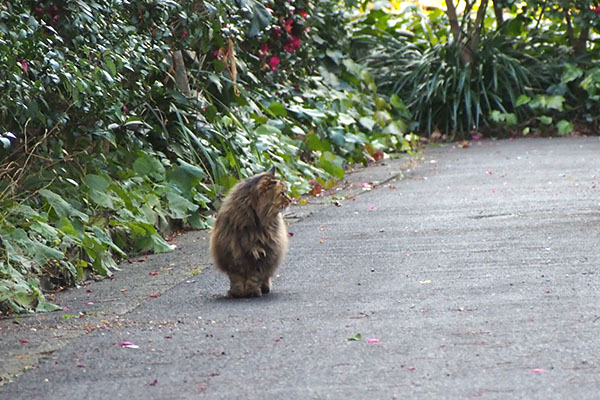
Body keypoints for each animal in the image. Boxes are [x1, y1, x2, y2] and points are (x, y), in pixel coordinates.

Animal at [210, 168, 292, 296]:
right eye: (283, 193)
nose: (291, 200)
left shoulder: (260, 253)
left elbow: (253, 278)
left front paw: (249, 291)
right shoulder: (234, 253)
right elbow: (237, 278)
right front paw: (239, 292)